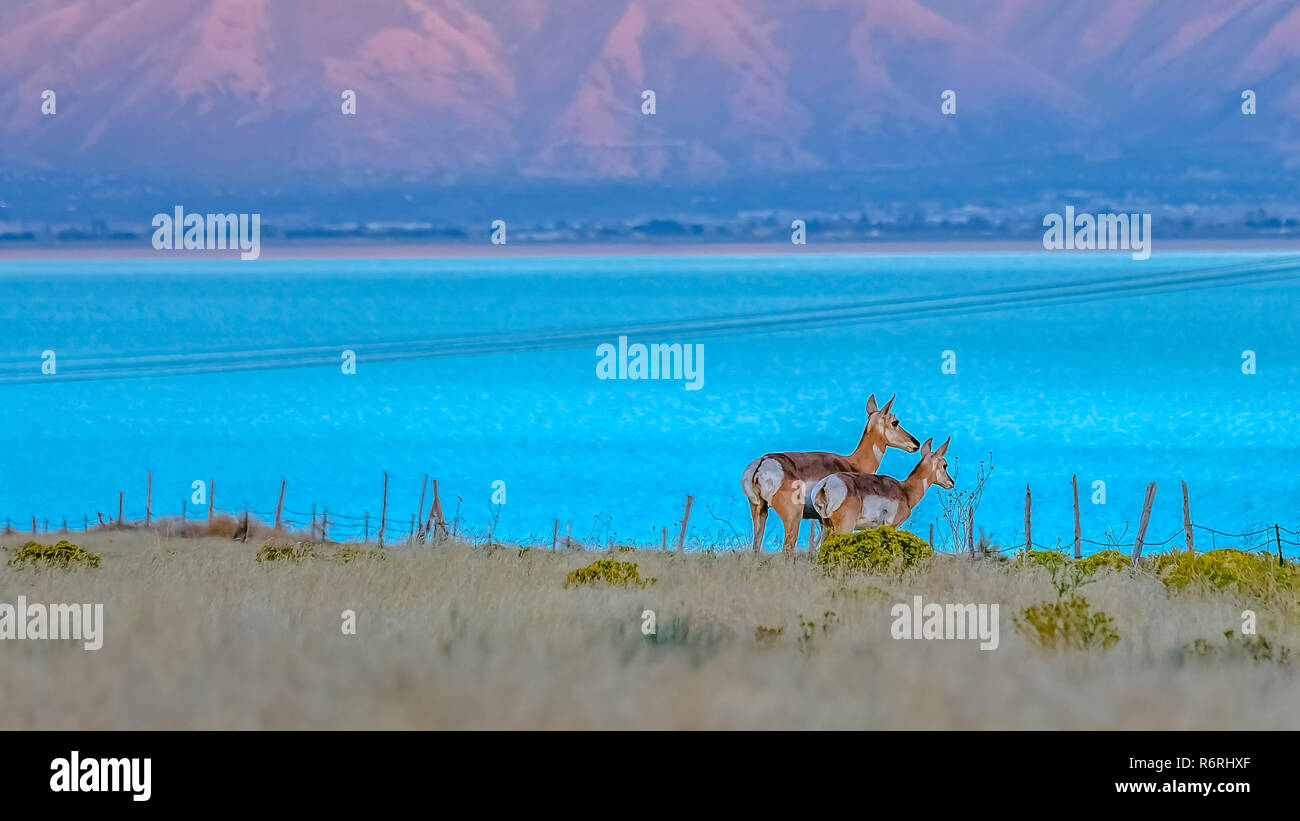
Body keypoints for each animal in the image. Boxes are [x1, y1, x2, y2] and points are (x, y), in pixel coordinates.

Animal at [743, 394, 925, 555]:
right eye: (895, 422)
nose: (916, 443)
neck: (852, 462)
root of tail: (763, 462)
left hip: (760, 512)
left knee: (756, 547)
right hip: (793, 518)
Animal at [811, 439, 956, 535]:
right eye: (945, 465)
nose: (952, 482)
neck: (905, 490)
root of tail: (826, 483)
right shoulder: (892, 527)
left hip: (827, 528)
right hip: (844, 528)